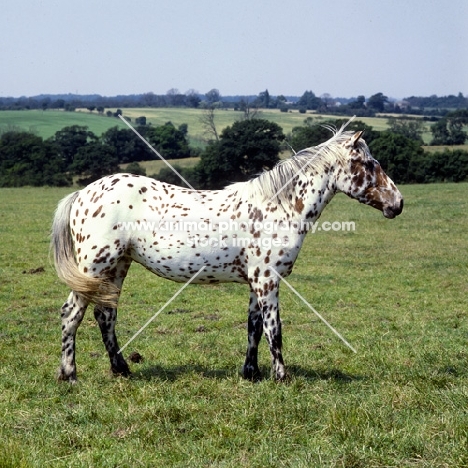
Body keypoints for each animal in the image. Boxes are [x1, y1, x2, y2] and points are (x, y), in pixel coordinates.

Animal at [50, 122, 402, 382]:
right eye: (369, 164)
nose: (397, 204)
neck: (277, 207)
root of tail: (82, 193)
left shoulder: (256, 282)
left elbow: (254, 328)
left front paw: (252, 373)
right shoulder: (268, 281)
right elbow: (275, 330)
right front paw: (281, 377)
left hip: (117, 267)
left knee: (105, 315)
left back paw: (121, 370)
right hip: (94, 267)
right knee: (72, 314)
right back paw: (69, 375)